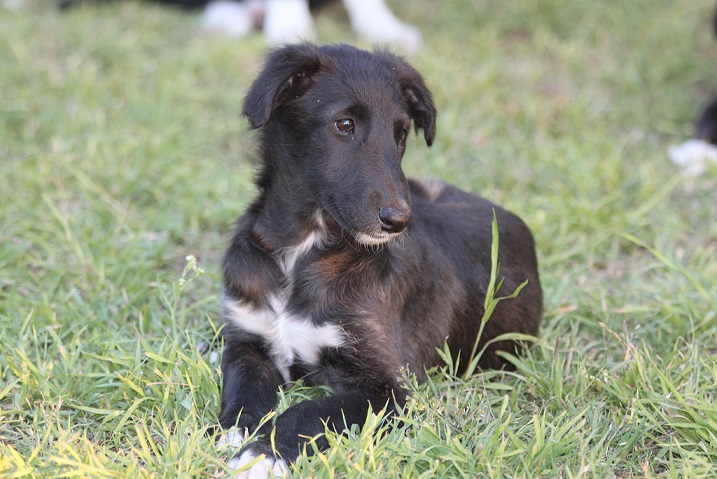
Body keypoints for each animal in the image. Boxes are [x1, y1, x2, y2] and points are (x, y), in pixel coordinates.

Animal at [220, 43, 544, 478]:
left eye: (401, 133)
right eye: (344, 124)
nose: (399, 220)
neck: (301, 251)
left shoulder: (388, 389)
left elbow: (312, 411)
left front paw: (263, 453)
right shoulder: (246, 341)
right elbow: (242, 387)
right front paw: (237, 431)